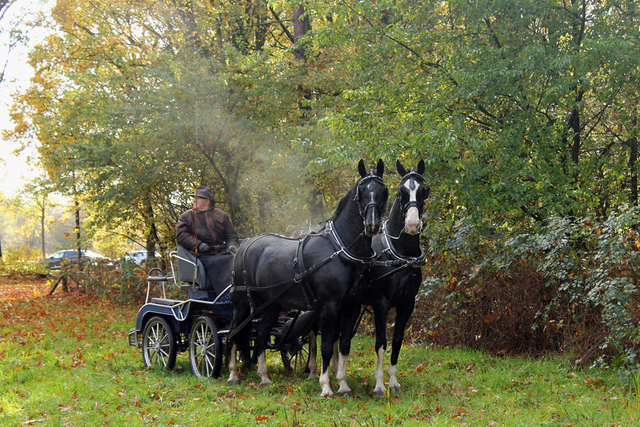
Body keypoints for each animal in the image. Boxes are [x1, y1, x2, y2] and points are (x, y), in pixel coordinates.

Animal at [230, 160, 390, 398]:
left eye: (383, 191)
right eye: (361, 191)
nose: (372, 224)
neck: (341, 249)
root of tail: (245, 245)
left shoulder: (351, 307)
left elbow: (344, 345)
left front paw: (343, 385)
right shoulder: (329, 306)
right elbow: (326, 346)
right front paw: (325, 386)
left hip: (271, 306)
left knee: (260, 335)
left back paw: (264, 377)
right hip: (242, 305)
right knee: (232, 333)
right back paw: (232, 373)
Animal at [364, 160, 430, 398]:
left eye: (423, 190)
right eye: (402, 191)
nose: (412, 224)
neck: (400, 254)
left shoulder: (407, 304)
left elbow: (397, 340)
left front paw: (392, 382)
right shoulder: (381, 303)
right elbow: (381, 342)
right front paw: (379, 385)